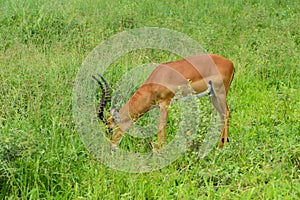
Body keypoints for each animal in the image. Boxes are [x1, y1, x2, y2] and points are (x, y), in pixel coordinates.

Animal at [94, 54, 234, 151]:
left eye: (109, 128)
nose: (111, 147)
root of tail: (230, 63)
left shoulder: (165, 103)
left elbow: (161, 126)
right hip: (212, 95)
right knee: (222, 115)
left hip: (220, 93)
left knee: (226, 112)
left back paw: (221, 147)